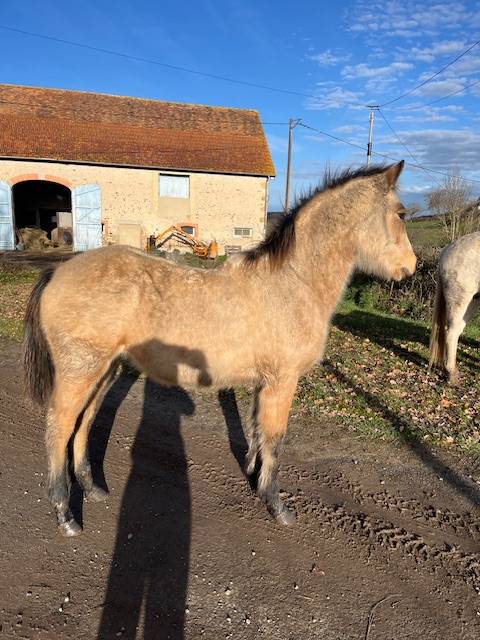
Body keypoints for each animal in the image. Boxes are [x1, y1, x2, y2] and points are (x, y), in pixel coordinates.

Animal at [23, 161, 416, 537]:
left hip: (107, 369)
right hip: (81, 369)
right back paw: (64, 513)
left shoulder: (264, 384)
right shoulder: (282, 382)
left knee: (83, 421)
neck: (293, 282)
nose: (409, 268)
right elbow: (275, 439)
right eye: (401, 213)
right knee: (59, 425)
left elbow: (257, 432)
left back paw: (92, 489)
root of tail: (58, 272)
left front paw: (254, 478)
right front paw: (277, 505)